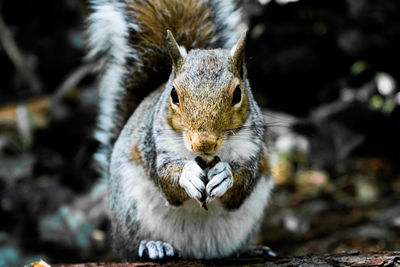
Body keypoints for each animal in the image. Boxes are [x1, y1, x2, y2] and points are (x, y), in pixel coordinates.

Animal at [86, 0, 276, 262]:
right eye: (174, 94)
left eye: (238, 93)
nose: (203, 143)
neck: (205, 158)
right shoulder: (155, 145)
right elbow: (166, 180)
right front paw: (187, 174)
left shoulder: (252, 151)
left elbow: (242, 185)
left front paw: (224, 175)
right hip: (130, 212)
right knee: (132, 250)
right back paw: (154, 246)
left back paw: (249, 251)